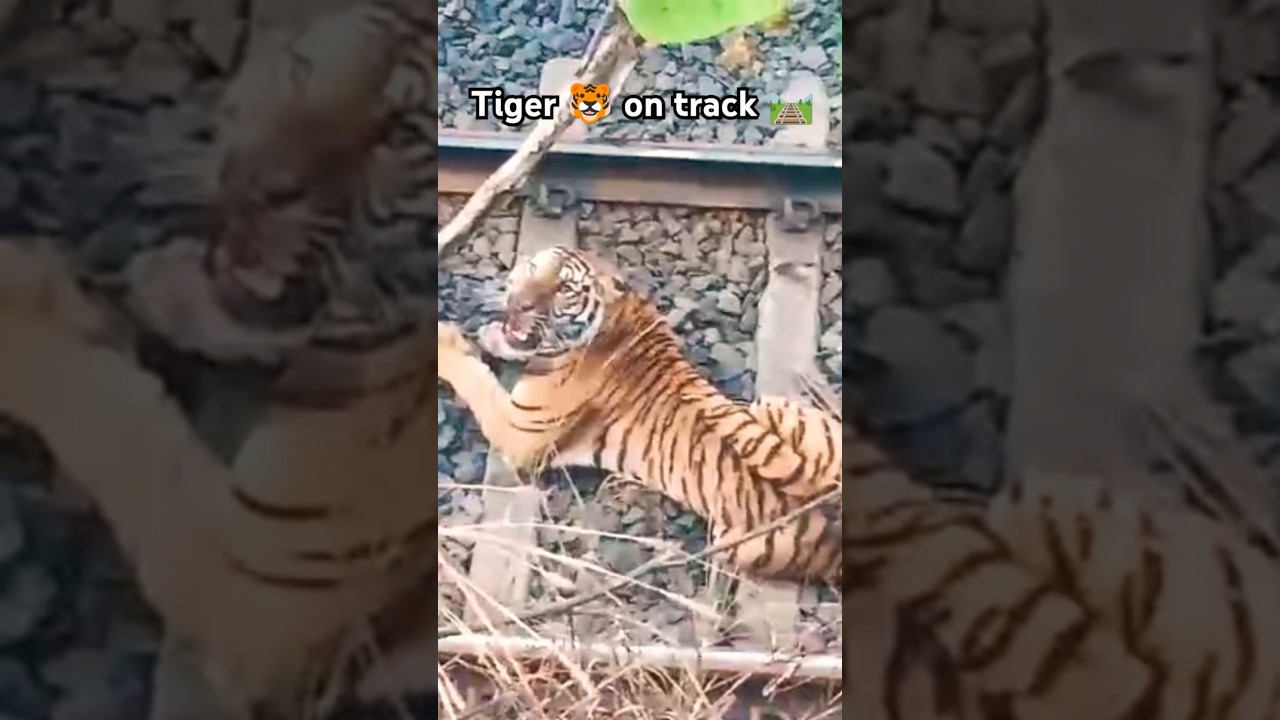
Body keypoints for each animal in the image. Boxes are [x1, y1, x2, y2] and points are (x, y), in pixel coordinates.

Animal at [435, 245, 841, 584]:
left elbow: (476, 379)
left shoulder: (518, 430)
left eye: (564, 287)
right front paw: (489, 334)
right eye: (533, 267)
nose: (519, 303)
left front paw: (447, 340)